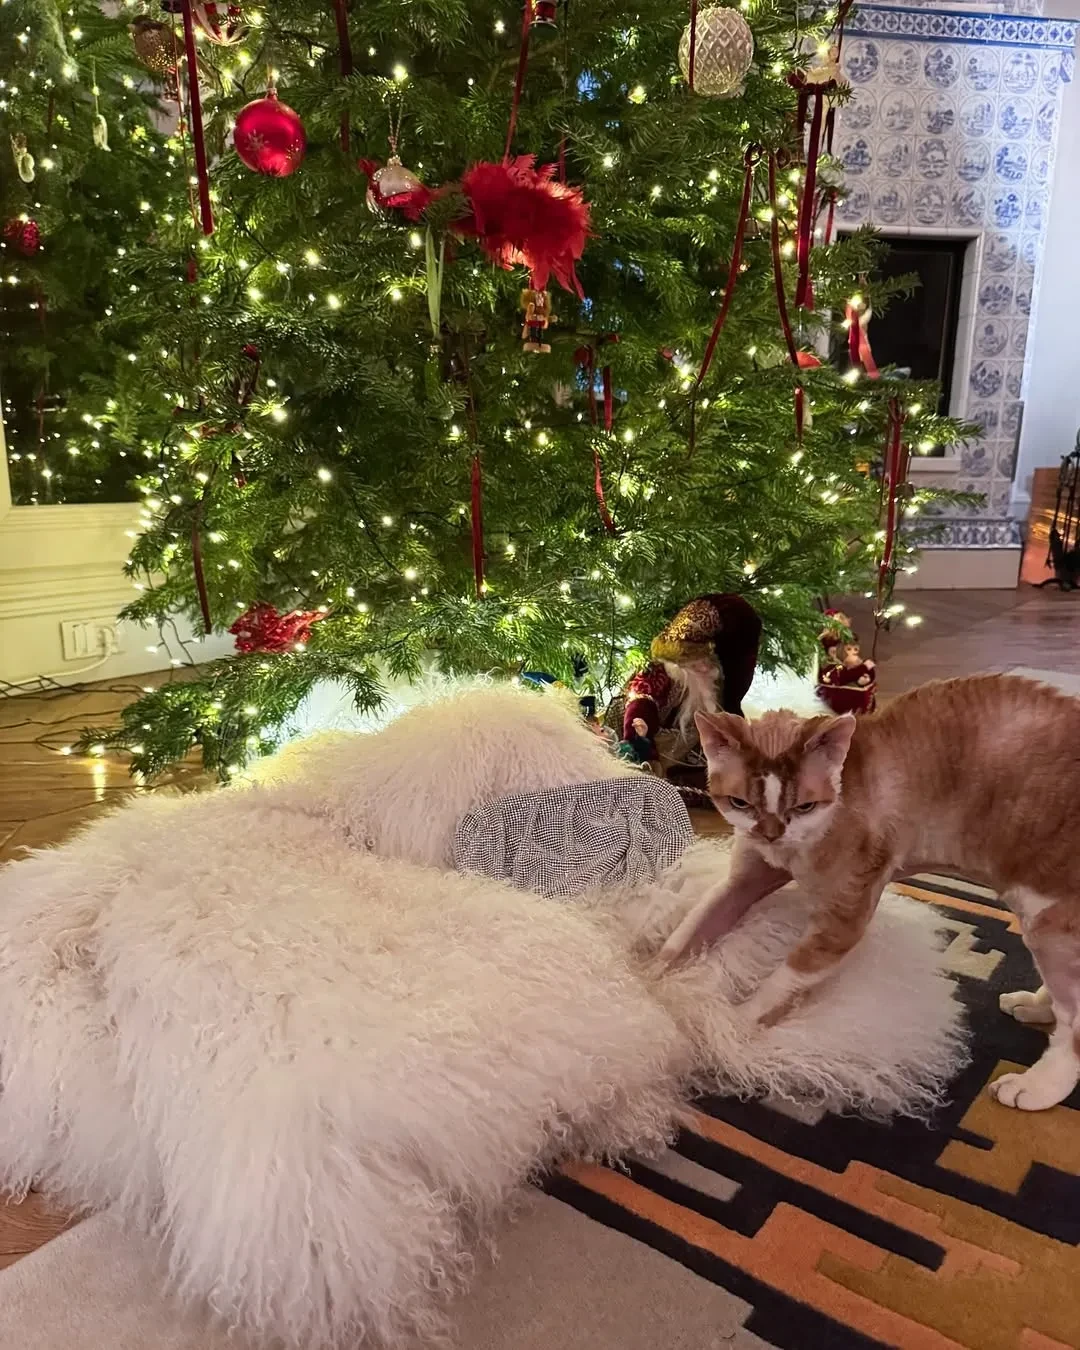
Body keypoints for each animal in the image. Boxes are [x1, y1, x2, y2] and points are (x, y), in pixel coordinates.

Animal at [659, 674, 1080, 1112]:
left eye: (805, 806)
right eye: (740, 803)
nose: (772, 834)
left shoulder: (842, 922)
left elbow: (780, 980)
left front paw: (731, 1024)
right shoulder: (740, 884)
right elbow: (684, 938)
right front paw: (649, 989)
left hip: (1048, 921)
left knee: (1075, 1023)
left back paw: (1038, 1085)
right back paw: (1035, 1005)